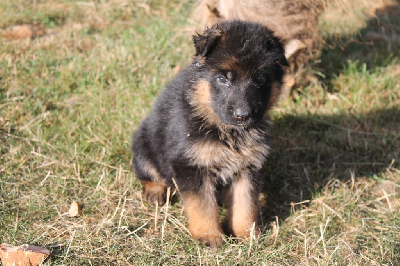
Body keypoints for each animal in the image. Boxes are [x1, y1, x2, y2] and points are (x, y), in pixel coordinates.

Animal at [132, 20, 288, 247]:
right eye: (223, 79)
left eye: (260, 79)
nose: (243, 115)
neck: (225, 130)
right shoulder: (191, 165)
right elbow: (203, 206)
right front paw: (209, 236)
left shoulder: (248, 168)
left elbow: (245, 204)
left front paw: (246, 234)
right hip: (144, 148)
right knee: (149, 173)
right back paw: (155, 191)